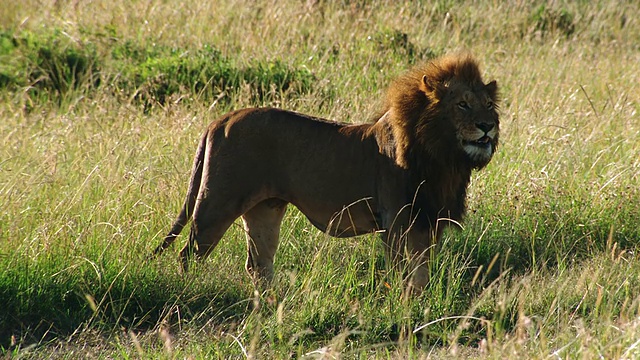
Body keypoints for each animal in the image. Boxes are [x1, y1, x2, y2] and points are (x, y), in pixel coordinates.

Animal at [152, 52, 498, 290]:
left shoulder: (428, 221)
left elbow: (421, 273)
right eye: (463, 104)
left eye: (489, 106)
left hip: (265, 208)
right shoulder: (397, 220)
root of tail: (219, 119)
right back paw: (191, 290)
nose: (488, 126)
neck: (445, 158)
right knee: (189, 254)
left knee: (258, 264)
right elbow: (404, 273)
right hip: (217, 204)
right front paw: (405, 307)